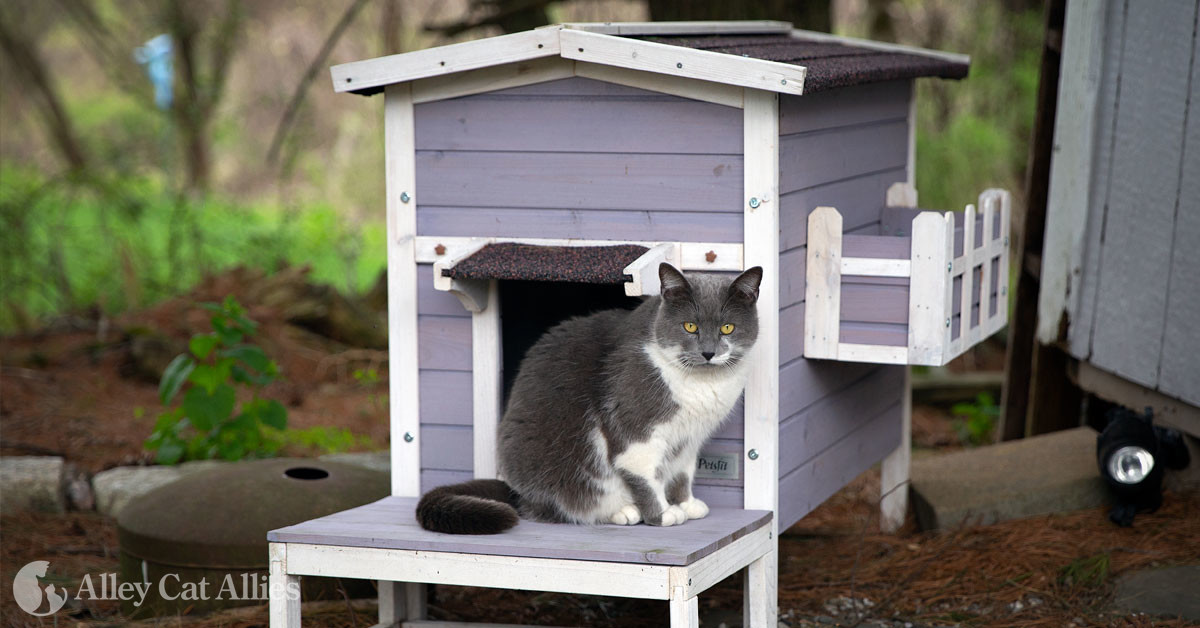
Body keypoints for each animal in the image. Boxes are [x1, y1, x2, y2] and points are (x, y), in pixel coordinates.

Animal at [417, 262, 763, 533]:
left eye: (727, 328)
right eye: (690, 326)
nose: (708, 353)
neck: (701, 384)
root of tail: (512, 490)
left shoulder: (689, 438)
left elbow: (681, 472)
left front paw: (686, 503)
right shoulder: (636, 428)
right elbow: (644, 473)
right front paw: (662, 514)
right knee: (556, 508)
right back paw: (622, 511)